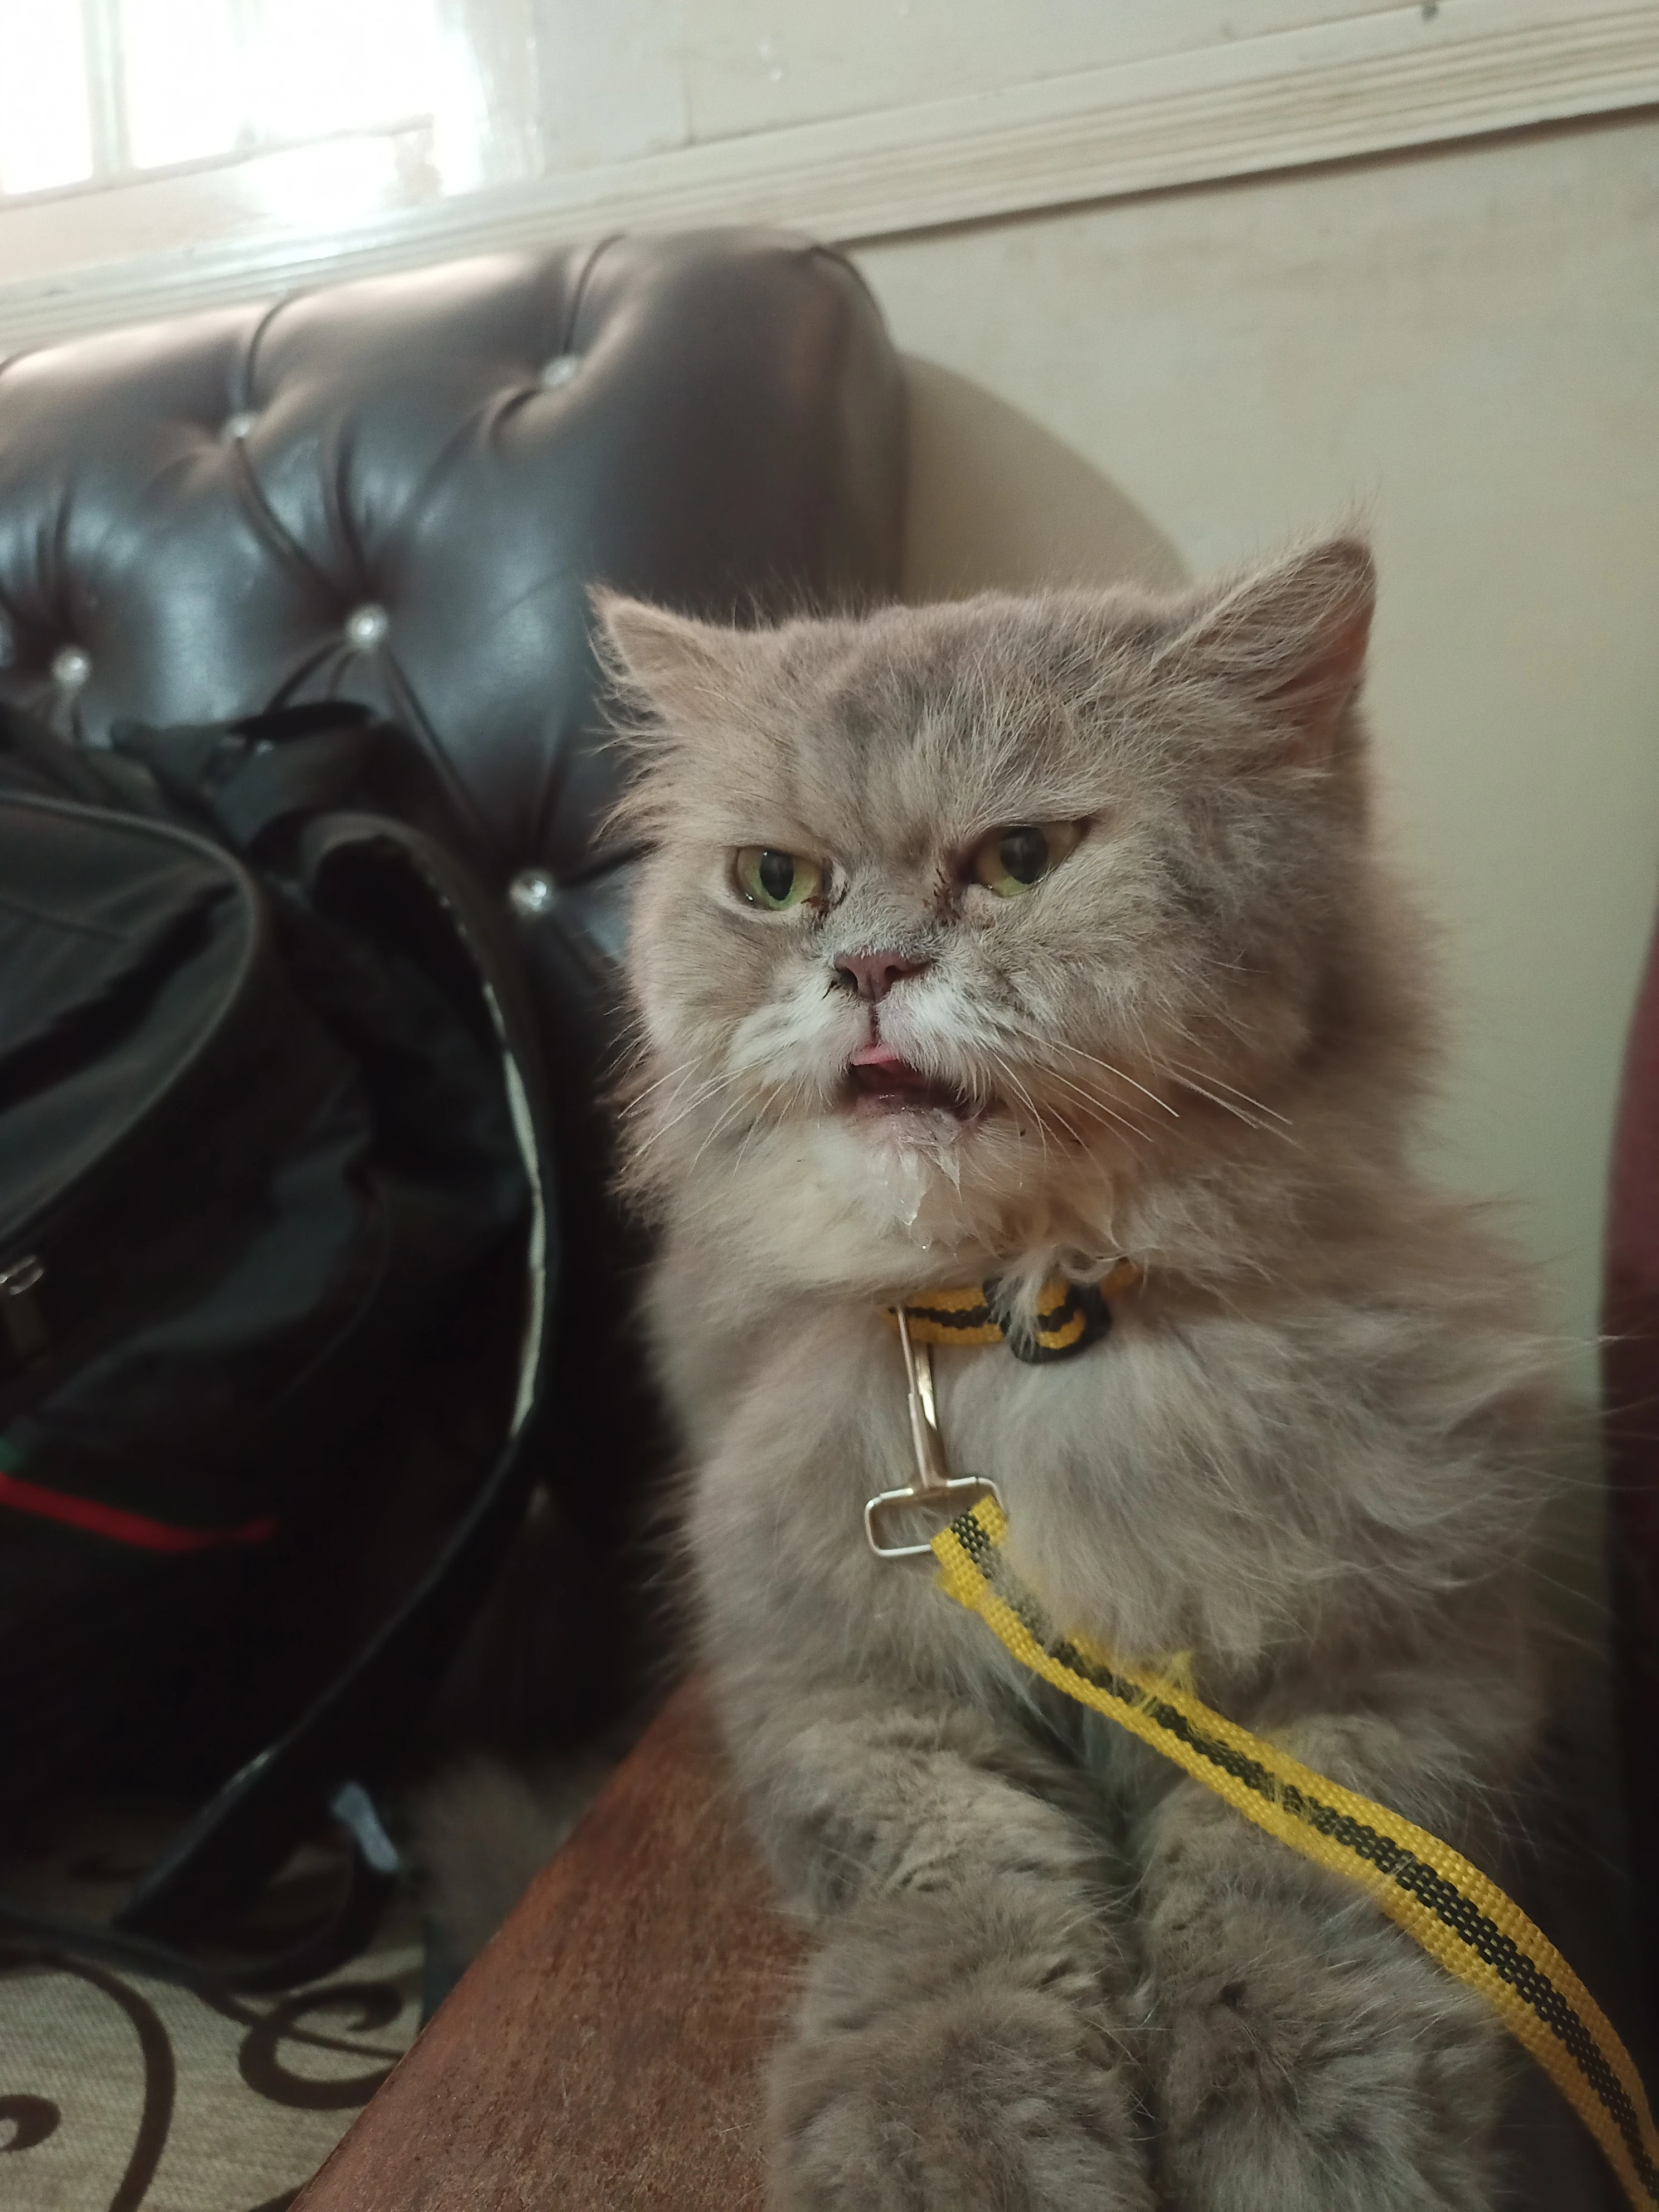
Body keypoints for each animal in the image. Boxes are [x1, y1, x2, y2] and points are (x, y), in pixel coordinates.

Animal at [606, 540, 1566, 2212]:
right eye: (777, 882)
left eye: (1019, 859)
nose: (866, 967)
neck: (1033, 1329)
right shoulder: (862, 1707)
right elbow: (964, 1926)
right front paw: (960, 2142)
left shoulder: (1381, 1669)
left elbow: (1287, 1905)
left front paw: (1311, 2136)